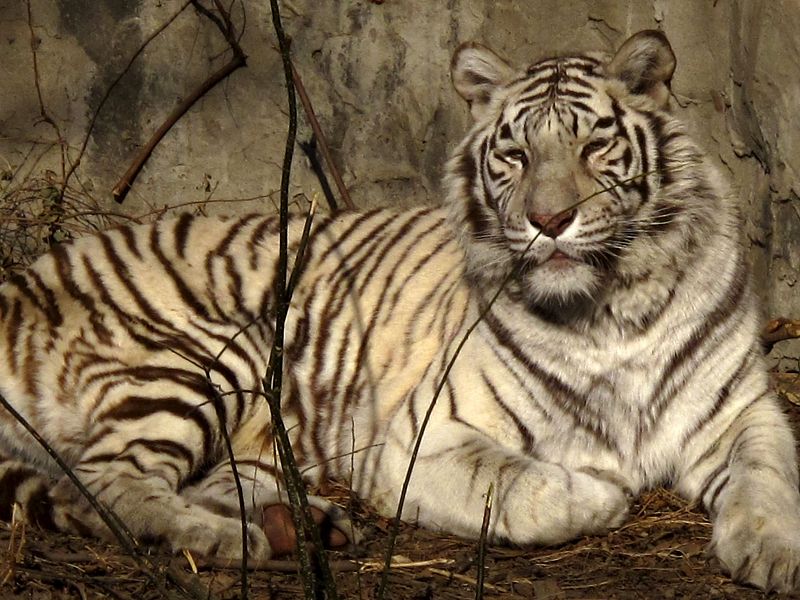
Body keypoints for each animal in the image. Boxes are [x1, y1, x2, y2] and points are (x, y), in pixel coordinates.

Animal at [1, 29, 799, 593]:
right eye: (514, 153)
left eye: (594, 144)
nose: (548, 221)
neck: (611, 309)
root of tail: (22, 277)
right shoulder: (423, 437)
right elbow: (526, 484)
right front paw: (604, 490)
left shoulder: (744, 412)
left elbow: (768, 477)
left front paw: (777, 552)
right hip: (206, 352)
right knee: (105, 482)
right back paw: (230, 540)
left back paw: (301, 524)